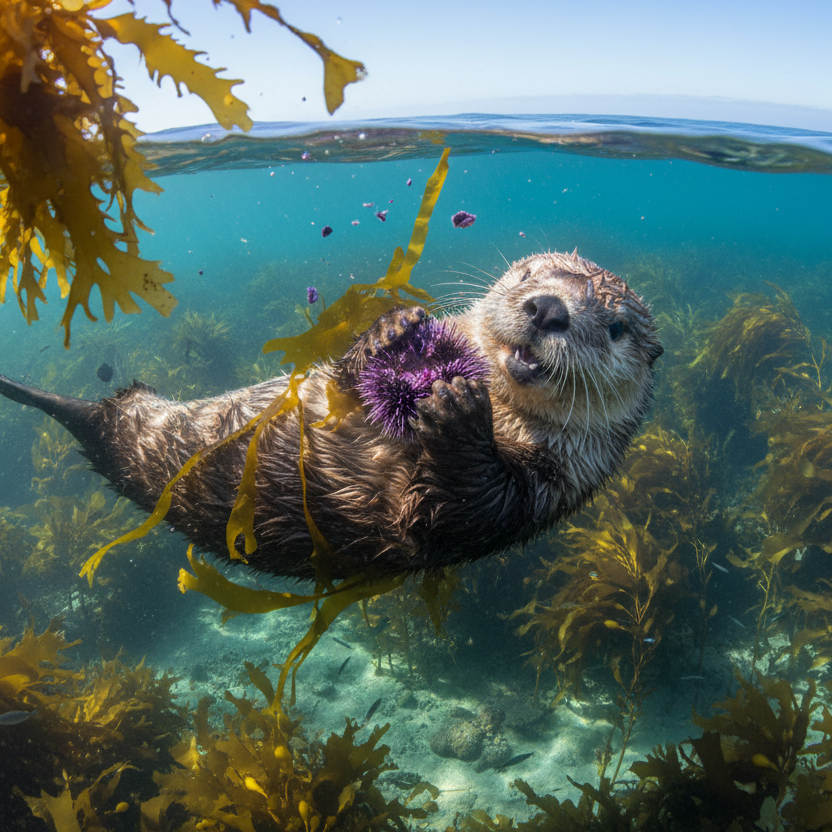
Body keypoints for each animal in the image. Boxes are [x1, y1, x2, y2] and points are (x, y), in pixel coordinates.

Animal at [0, 251, 662, 581]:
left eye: (616, 327)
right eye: (526, 276)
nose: (548, 308)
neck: (504, 414)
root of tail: (96, 414)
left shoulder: (546, 489)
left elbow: (458, 507)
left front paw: (456, 410)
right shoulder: (341, 386)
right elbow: (345, 376)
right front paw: (395, 328)